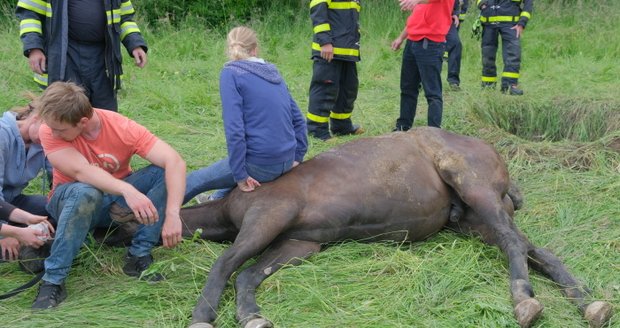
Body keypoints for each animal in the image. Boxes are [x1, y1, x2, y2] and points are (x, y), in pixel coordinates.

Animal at [123, 127, 612, 328]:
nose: (132, 266)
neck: (233, 204)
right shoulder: (298, 242)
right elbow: (249, 275)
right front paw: (251, 315)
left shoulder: (270, 215)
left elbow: (226, 264)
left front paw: (202, 315)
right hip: (476, 219)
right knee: (536, 250)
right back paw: (588, 302)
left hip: (474, 189)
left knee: (515, 245)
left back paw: (524, 300)